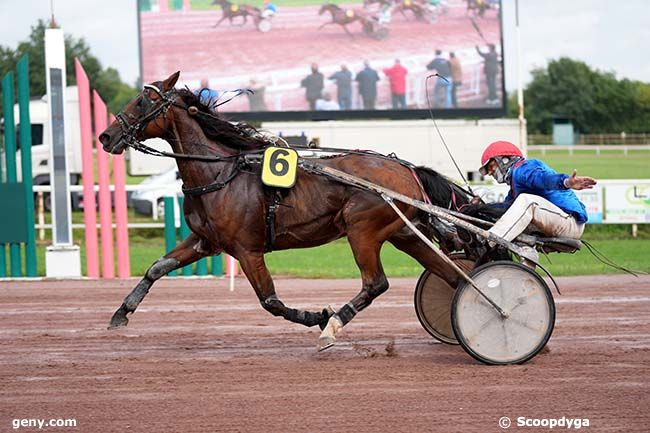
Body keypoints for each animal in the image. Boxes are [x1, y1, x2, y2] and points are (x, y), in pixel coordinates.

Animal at [98, 72, 468, 350]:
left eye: (143, 102)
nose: (105, 136)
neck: (219, 173)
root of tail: (407, 169)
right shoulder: (206, 242)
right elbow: (156, 268)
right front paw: (121, 313)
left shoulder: (247, 250)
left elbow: (271, 302)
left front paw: (318, 316)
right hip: (404, 234)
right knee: (451, 275)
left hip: (362, 230)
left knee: (376, 283)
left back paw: (332, 326)